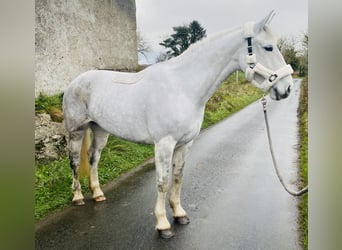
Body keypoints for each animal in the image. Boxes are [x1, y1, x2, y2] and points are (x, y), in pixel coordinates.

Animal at [62, 11, 292, 238]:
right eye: (268, 47)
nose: (287, 88)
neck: (183, 87)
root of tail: (75, 82)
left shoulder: (185, 144)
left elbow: (178, 177)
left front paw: (179, 214)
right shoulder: (164, 144)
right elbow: (163, 182)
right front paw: (163, 224)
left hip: (100, 130)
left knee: (93, 158)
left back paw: (98, 193)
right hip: (76, 131)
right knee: (75, 161)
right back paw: (78, 197)